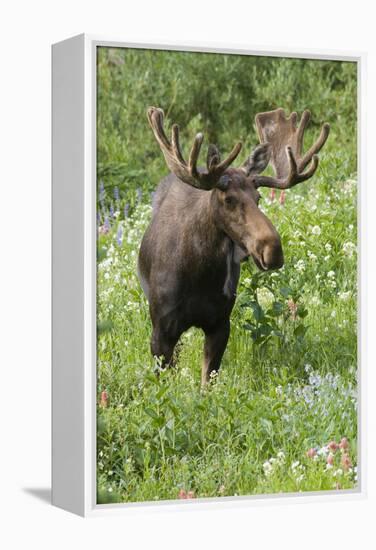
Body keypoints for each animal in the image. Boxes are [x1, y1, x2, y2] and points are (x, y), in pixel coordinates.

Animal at [137, 106, 328, 384]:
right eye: (228, 199)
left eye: (258, 197)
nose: (273, 250)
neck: (200, 275)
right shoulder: (161, 330)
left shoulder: (220, 323)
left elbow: (207, 382)